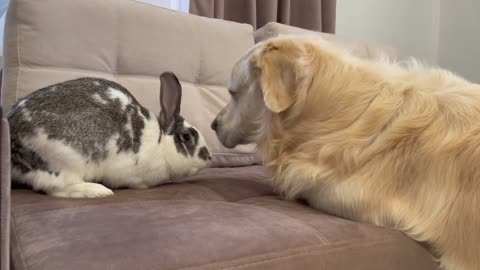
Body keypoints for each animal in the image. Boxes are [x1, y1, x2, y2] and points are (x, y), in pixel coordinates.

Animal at [7, 71, 212, 198]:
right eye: (187, 136)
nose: (209, 157)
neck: (159, 142)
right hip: (63, 158)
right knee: (55, 187)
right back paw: (97, 191)